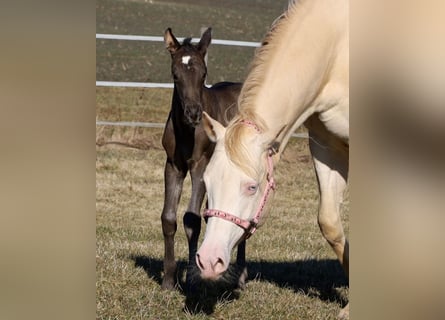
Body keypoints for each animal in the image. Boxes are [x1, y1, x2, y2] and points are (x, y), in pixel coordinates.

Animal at [196, 1, 348, 318]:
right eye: (206, 181)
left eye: (252, 187)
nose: (209, 260)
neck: (338, 52)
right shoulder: (326, 147)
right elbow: (330, 222)